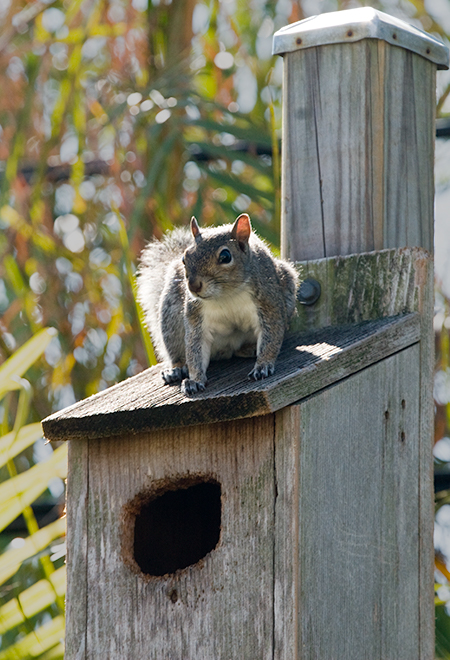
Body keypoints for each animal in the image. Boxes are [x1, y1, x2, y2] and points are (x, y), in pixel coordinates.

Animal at [137, 214, 298, 394]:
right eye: (184, 258)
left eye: (226, 256)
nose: (193, 286)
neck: (225, 295)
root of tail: (226, 350)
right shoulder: (196, 316)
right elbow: (195, 348)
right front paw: (195, 380)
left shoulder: (268, 302)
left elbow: (271, 336)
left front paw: (263, 366)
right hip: (170, 315)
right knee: (176, 350)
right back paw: (176, 368)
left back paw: (248, 348)